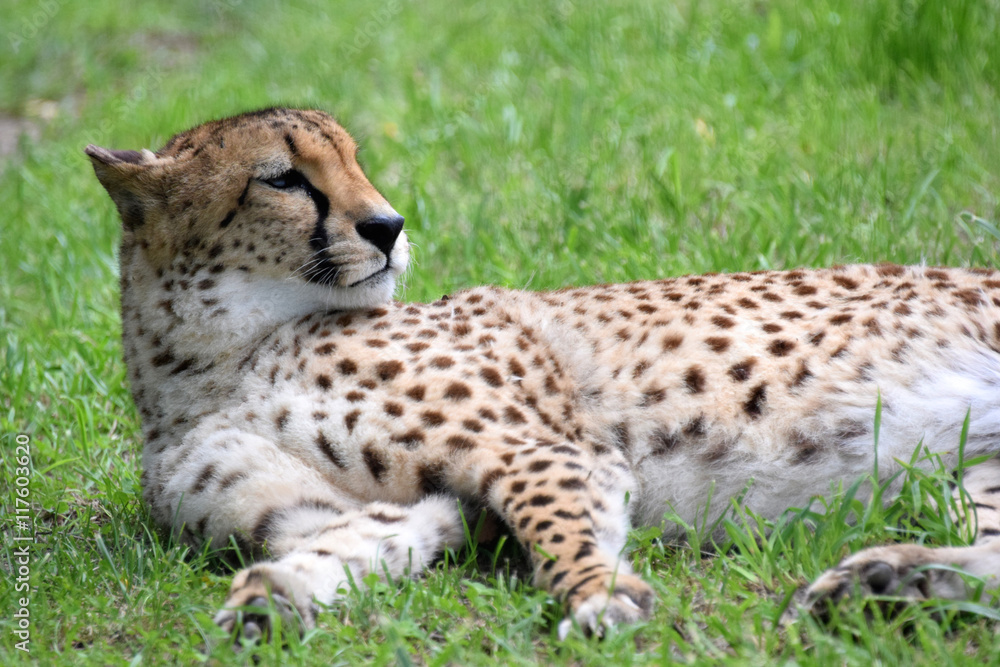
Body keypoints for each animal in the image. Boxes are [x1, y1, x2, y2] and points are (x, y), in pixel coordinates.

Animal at [86, 107, 1000, 642]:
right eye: (283, 178)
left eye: (355, 162)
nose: (388, 225)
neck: (213, 362)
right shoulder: (383, 509)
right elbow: (342, 546)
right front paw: (269, 599)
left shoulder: (544, 451)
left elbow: (554, 520)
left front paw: (597, 591)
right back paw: (886, 584)